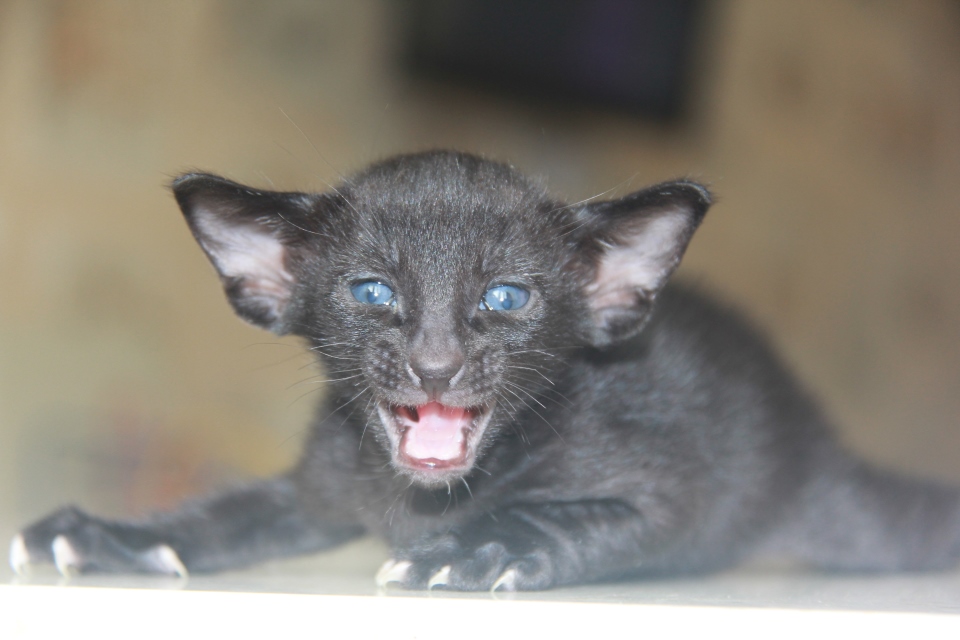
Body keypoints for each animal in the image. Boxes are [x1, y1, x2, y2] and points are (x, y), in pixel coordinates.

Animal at [13, 150, 960, 592]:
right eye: (372, 290)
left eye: (505, 296)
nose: (436, 364)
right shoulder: (316, 488)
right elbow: (230, 513)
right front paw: (114, 535)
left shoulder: (678, 499)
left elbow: (565, 518)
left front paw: (475, 548)